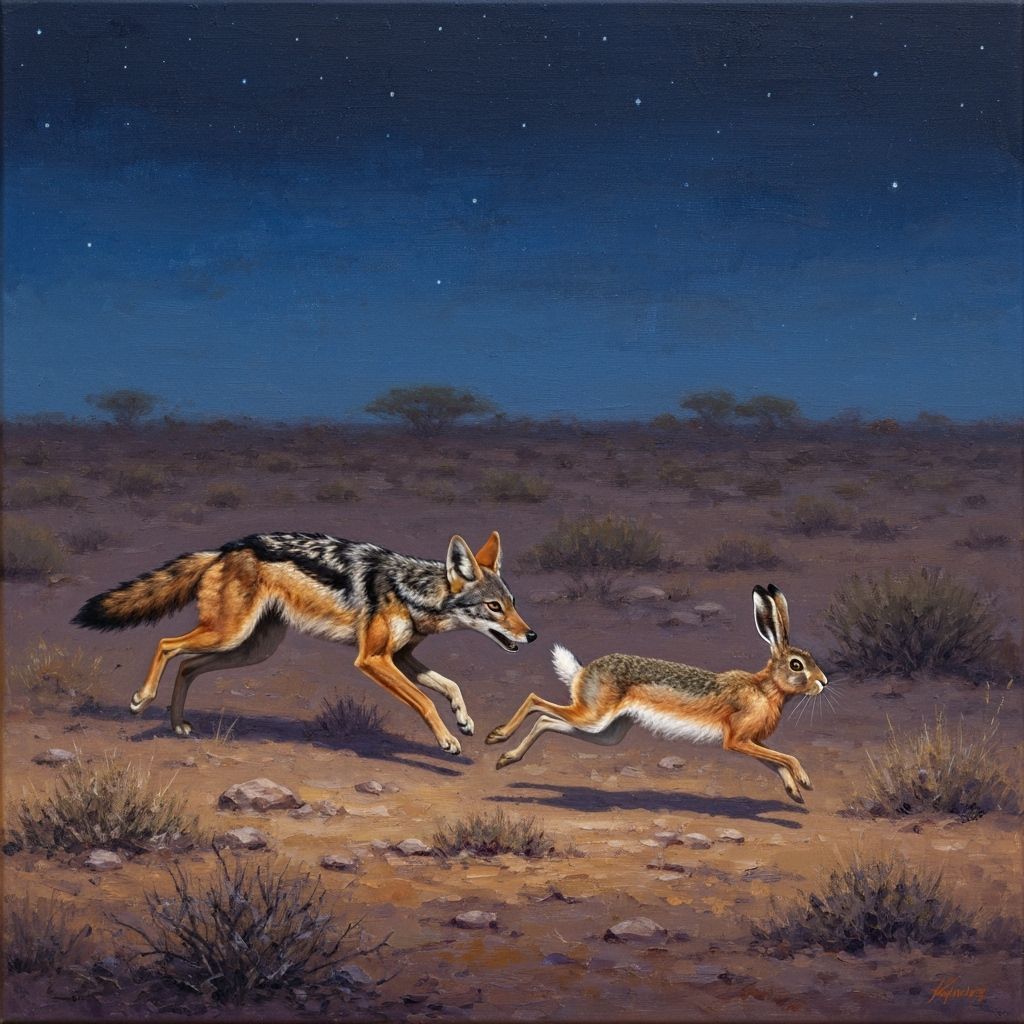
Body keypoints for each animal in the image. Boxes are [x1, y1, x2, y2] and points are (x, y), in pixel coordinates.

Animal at [486, 584, 827, 803]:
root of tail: (582, 673)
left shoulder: (750, 741)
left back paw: (506, 758)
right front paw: (806, 781)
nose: (823, 682)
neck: (765, 689)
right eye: (797, 665)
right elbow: (786, 757)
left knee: (547, 721)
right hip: (593, 716)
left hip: (606, 733)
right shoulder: (738, 740)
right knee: (536, 701)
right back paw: (497, 737)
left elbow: (775, 762)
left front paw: (795, 792)